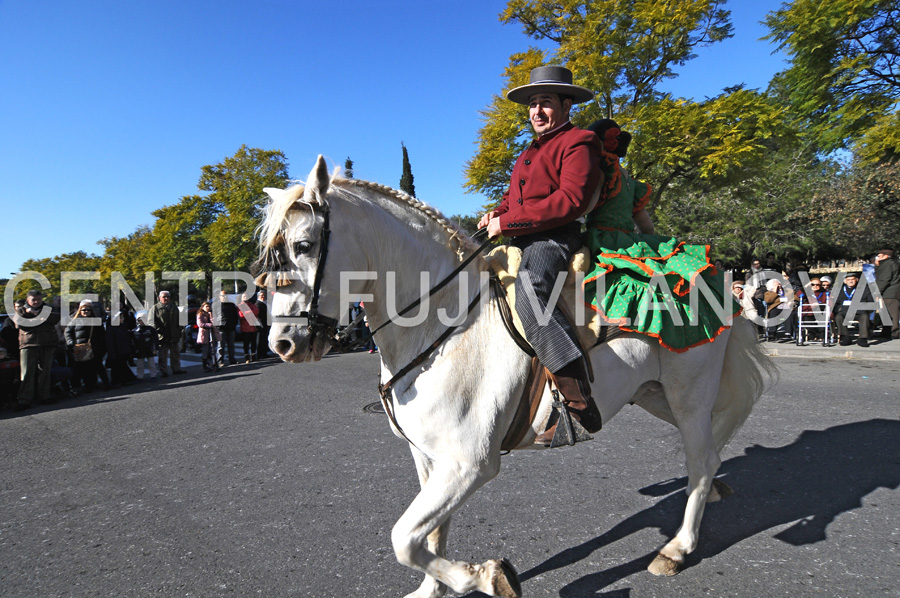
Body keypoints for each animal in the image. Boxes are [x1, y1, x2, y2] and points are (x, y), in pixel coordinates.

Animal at [256, 158, 776, 598]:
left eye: (302, 246)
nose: (282, 344)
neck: (442, 324)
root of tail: (715, 274)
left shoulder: (470, 464)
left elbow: (404, 538)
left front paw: (486, 576)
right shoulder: (429, 458)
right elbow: (429, 537)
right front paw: (434, 589)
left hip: (689, 395)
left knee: (701, 461)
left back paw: (677, 548)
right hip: (655, 396)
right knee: (709, 452)